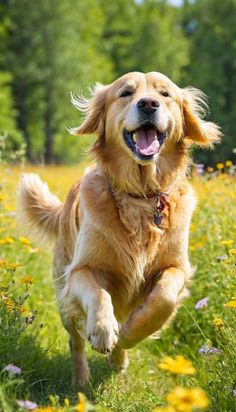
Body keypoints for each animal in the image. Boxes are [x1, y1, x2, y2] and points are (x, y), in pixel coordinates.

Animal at [18, 71, 221, 386]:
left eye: (165, 94)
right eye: (125, 93)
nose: (148, 104)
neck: (141, 196)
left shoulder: (178, 267)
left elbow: (163, 298)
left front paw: (128, 335)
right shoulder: (81, 269)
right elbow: (99, 294)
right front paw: (103, 330)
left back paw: (119, 355)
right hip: (64, 294)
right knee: (75, 341)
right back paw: (81, 379)